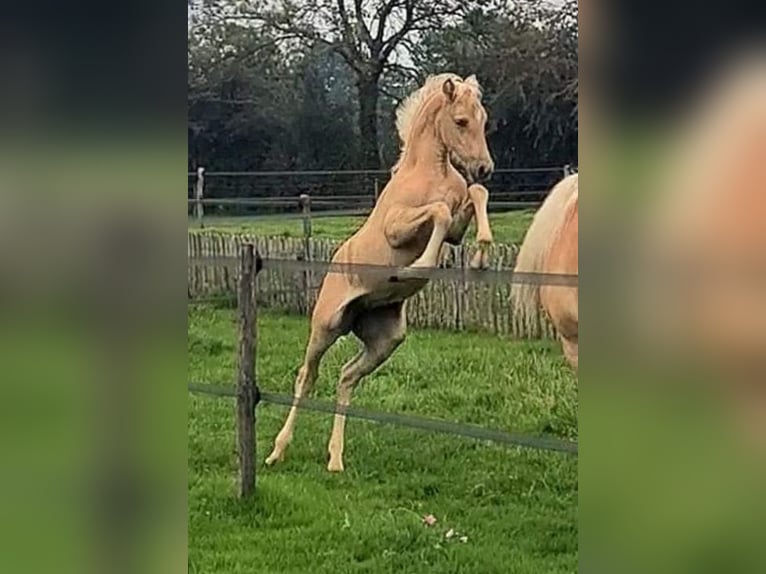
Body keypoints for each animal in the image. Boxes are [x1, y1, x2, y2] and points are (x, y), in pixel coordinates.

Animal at [268, 74, 498, 474]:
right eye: (460, 121)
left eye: (483, 120)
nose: (486, 167)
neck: (430, 171)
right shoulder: (398, 227)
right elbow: (438, 211)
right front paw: (416, 267)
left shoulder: (456, 228)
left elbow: (475, 194)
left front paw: (481, 255)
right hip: (326, 326)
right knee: (307, 376)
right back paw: (277, 451)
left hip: (385, 340)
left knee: (346, 377)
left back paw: (335, 459)